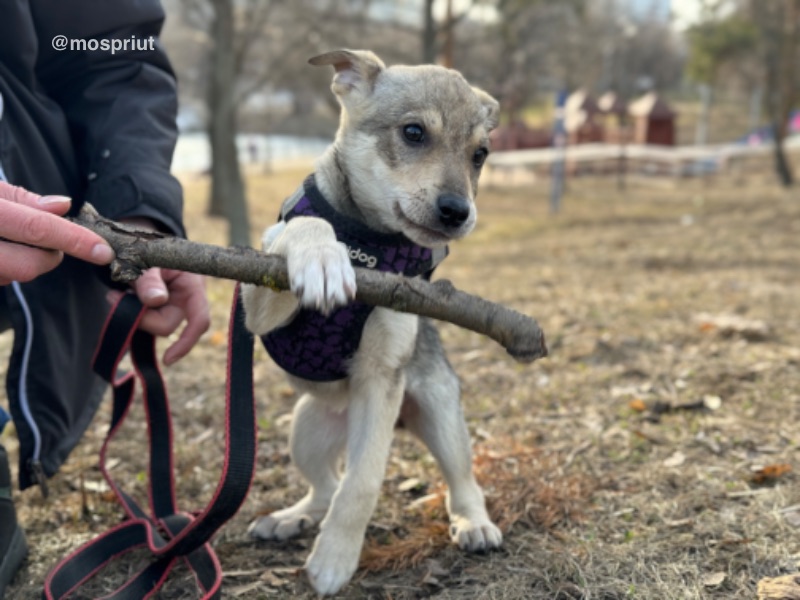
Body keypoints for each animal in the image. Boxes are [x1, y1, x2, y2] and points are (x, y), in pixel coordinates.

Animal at [241, 49, 500, 592]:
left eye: (480, 155)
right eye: (414, 132)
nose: (457, 211)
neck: (369, 241)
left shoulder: (382, 376)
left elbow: (361, 485)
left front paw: (335, 561)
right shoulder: (258, 305)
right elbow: (305, 224)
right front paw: (321, 255)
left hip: (438, 411)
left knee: (461, 479)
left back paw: (474, 523)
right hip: (307, 430)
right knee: (325, 485)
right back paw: (289, 518)